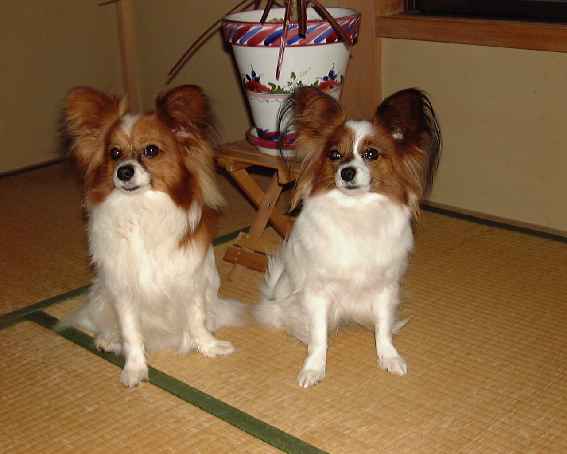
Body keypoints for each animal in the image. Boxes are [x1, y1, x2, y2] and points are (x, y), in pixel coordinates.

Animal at [62, 85, 243, 387]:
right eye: (114, 153)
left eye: (151, 150)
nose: (124, 171)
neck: (141, 209)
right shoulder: (123, 291)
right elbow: (131, 333)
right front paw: (135, 369)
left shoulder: (190, 280)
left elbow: (197, 319)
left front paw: (209, 347)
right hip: (101, 294)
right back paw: (107, 340)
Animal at [254, 87, 441, 387]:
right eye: (334, 155)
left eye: (371, 154)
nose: (347, 172)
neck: (356, 210)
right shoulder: (317, 292)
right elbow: (319, 336)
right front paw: (313, 368)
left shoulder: (385, 288)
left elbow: (383, 329)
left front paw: (389, 357)